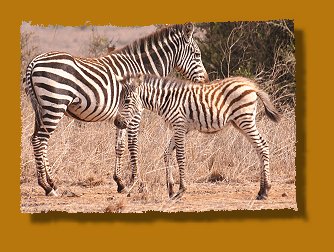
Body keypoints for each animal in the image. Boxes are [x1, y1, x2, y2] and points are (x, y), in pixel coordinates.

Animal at [24, 22, 209, 196]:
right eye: (197, 55)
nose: (206, 81)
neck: (142, 69)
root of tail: (34, 62)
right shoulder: (135, 110)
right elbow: (133, 145)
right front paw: (134, 182)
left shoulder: (122, 115)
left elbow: (119, 146)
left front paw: (120, 182)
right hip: (55, 103)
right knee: (39, 140)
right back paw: (47, 186)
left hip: (42, 108)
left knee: (38, 140)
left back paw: (52, 183)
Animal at [113, 74, 280, 200]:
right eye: (120, 100)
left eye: (127, 101)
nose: (117, 122)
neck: (166, 100)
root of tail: (251, 86)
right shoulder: (179, 128)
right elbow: (166, 153)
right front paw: (171, 190)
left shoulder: (179, 126)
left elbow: (180, 156)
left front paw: (181, 190)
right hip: (239, 122)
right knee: (259, 147)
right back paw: (261, 190)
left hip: (244, 119)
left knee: (262, 146)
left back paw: (265, 191)